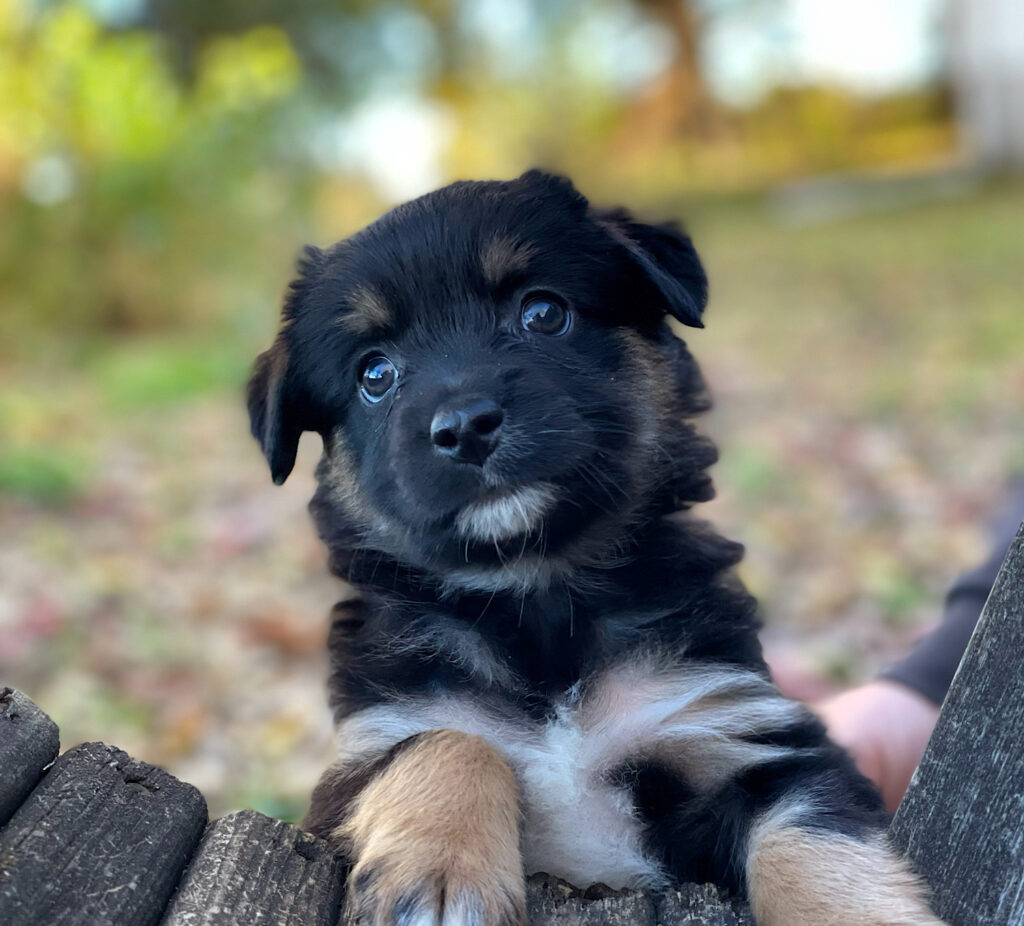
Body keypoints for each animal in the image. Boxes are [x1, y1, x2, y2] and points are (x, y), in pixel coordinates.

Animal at [245, 172, 942, 926]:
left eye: (543, 313)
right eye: (375, 374)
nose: (464, 427)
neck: (538, 593)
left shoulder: (741, 736)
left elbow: (816, 850)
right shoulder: (369, 747)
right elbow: (448, 739)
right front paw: (441, 870)